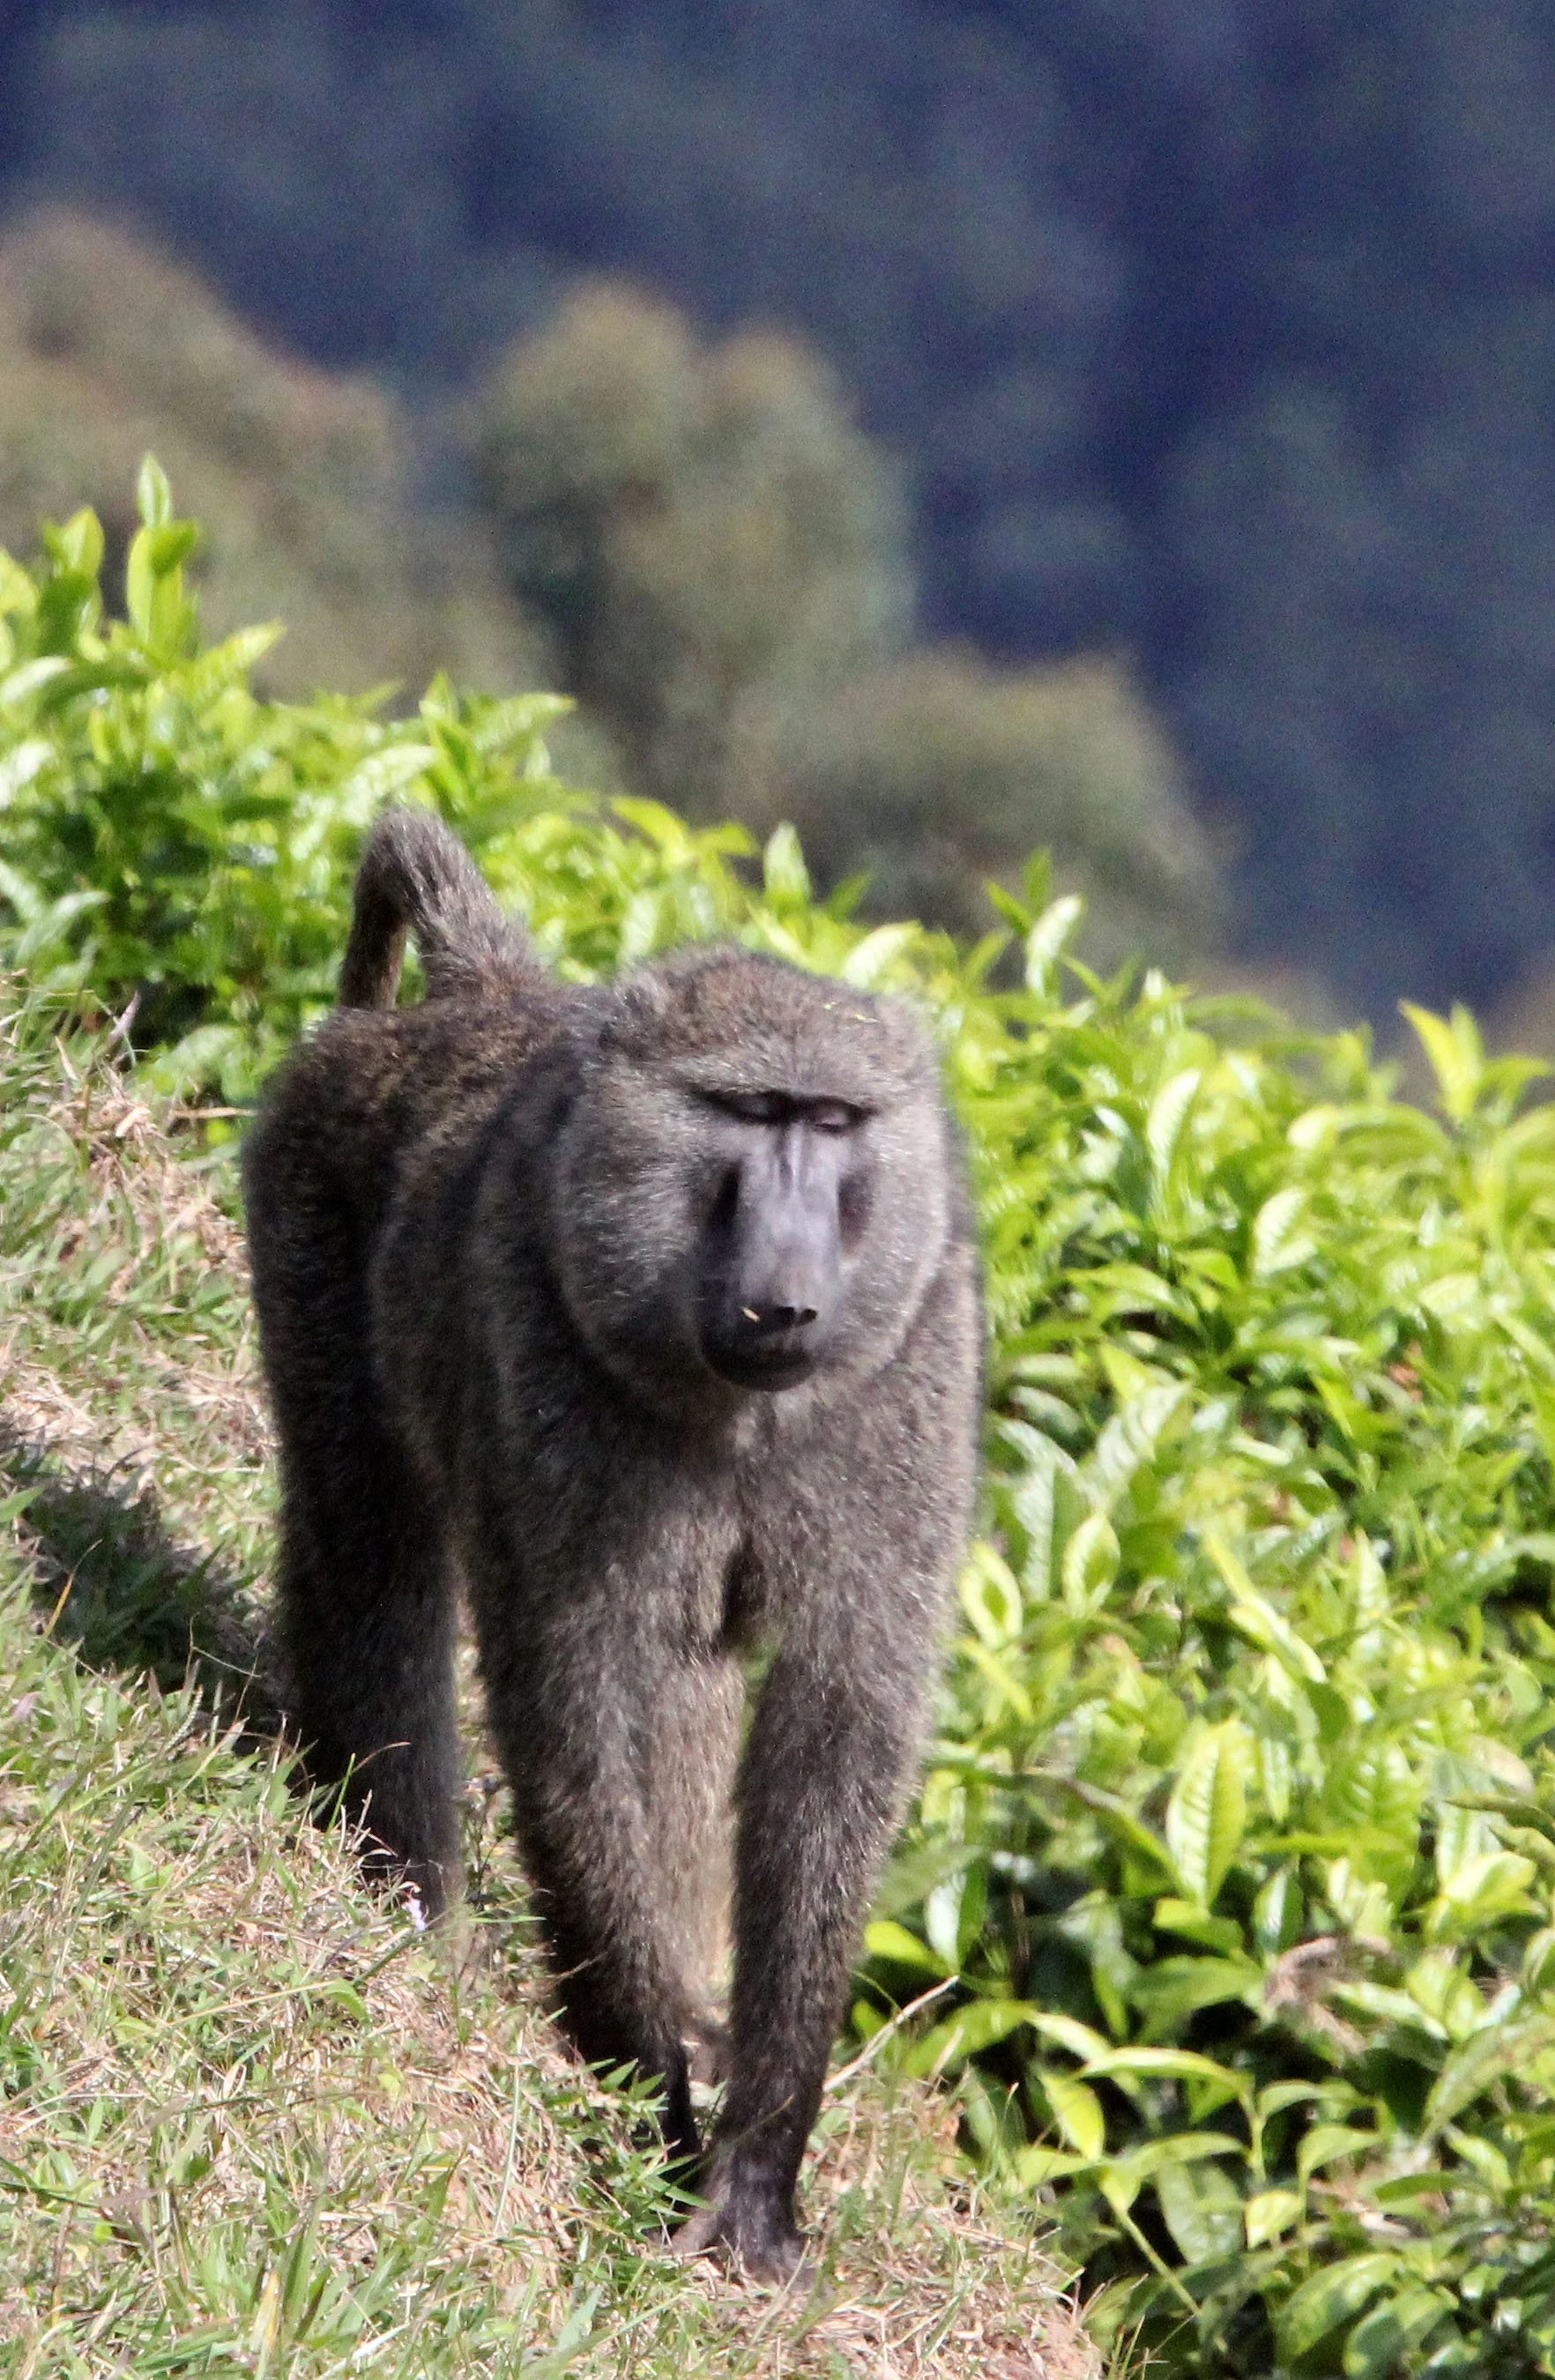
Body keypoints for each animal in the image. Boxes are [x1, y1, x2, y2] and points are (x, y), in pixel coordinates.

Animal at [242, 807, 983, 2284]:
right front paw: (650, 2095)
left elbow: (834, 1723)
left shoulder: (914, 1371)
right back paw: (413, 1898)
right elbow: (574, 1694)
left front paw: (757, 2157)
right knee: (370, 1551)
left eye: (833, 1123)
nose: (788, 1294)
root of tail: (473, 1002)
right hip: (305, 1206)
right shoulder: (539, 1355)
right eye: (748, 1114)